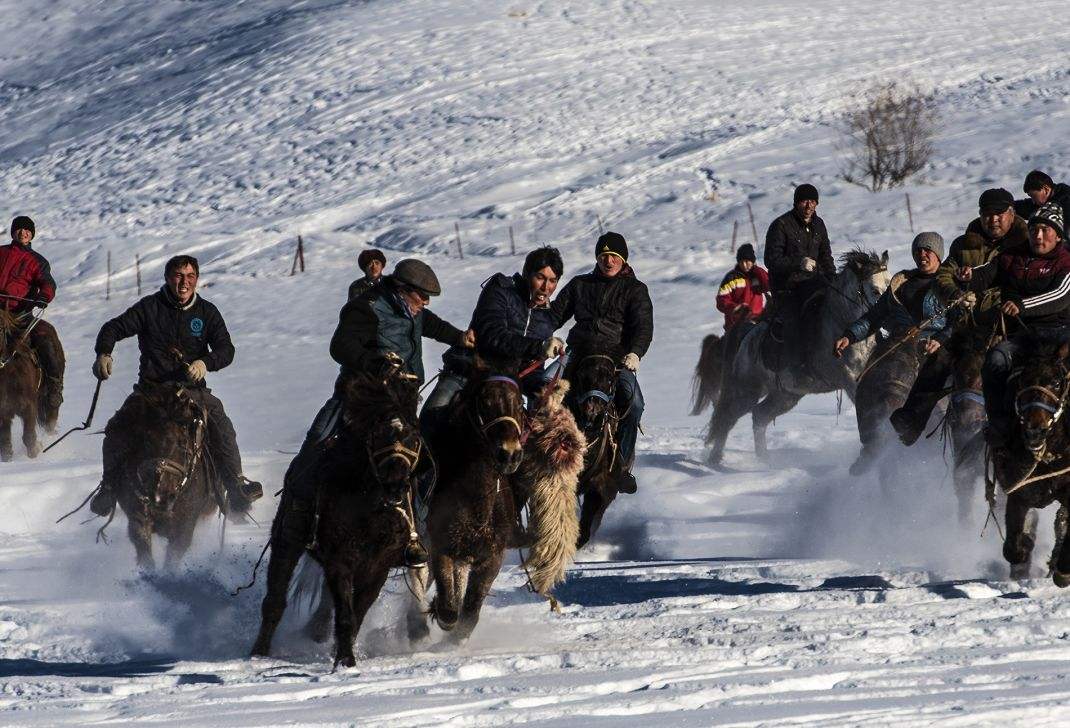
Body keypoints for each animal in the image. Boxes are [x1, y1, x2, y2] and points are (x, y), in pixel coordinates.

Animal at [252, 374, 423, 663]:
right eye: (378, 435)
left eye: (414, 436)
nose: (396, 486)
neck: (371, 508)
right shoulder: (340, 560)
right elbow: (345, 615)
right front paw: (345, 662)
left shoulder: (378, 567)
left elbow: (357, 614)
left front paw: (343, 655)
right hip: (288, 540)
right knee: (275, 600)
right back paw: (258, 653)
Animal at [697, 250, 890, 466]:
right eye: (874, 290)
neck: (843, 330)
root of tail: (746, 336)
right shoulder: (850, 380)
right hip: (746, 392)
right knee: (726, 420)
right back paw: (715, 460)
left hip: (786, 395)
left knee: (759, 416)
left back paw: (765, 460)